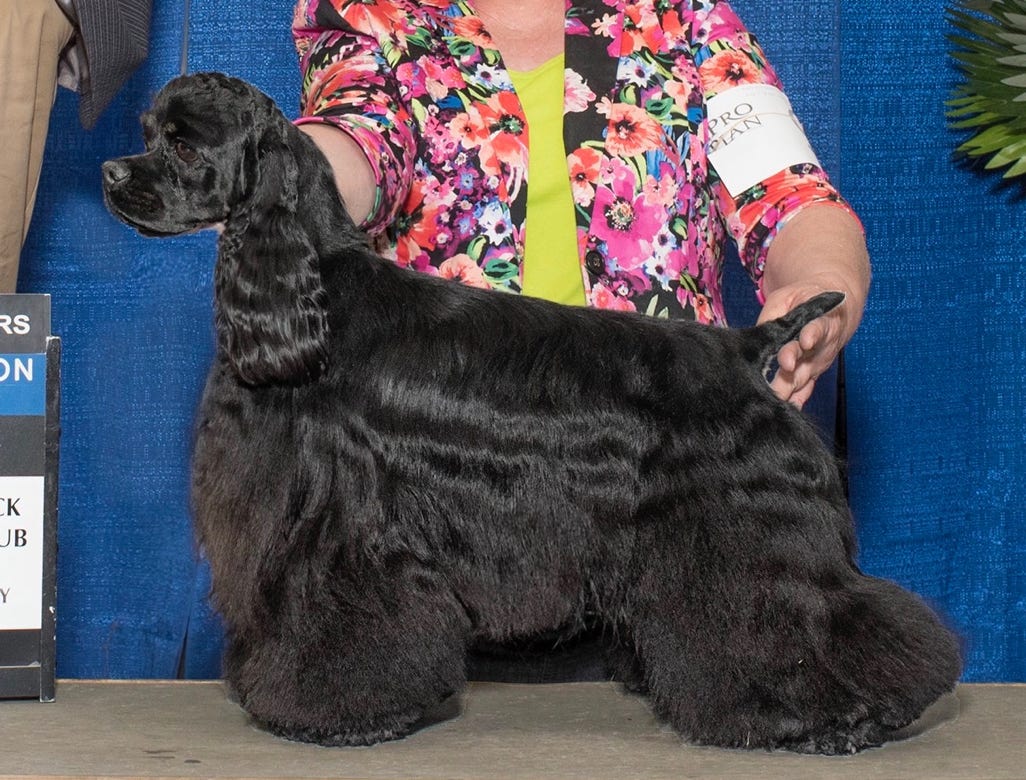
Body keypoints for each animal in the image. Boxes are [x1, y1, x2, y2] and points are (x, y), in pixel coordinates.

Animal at [102, 72, 961, 754]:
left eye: (183, 144)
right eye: (147, 132)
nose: (111, 171)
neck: (313, 297)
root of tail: (747, 346)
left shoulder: (341, 526)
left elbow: (341, 619)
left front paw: (333, 714)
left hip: (755, 532)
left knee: (820, 614)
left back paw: (835, 718)